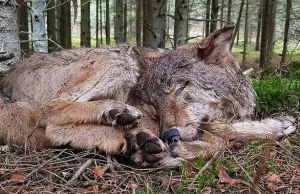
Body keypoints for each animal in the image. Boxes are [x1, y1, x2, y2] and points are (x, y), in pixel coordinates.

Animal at [0, 25, 296, 167]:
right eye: (154, 103)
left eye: (181, 88)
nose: (169, 135)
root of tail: (8, 78)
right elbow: (221, 135)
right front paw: (276, 125)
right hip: (119, 59)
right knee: (49, 113)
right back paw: (119, 116)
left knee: (51, 129)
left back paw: (131, 138)